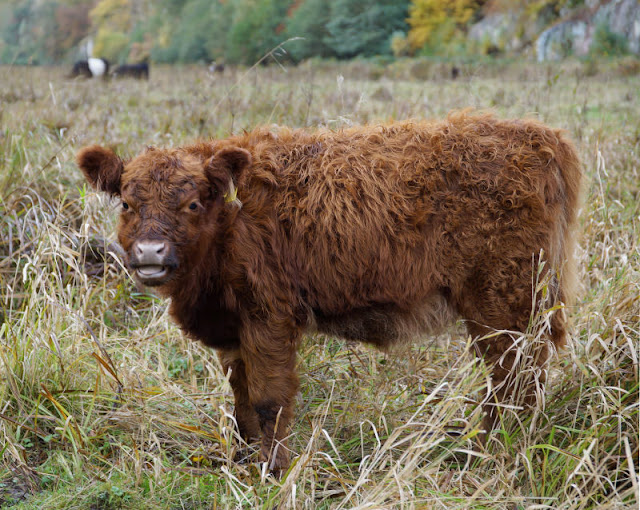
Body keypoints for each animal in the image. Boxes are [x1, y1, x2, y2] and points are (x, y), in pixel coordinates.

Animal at [77, 111, 584, 474]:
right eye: (127, 204)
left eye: (193, 204)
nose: (150, 253)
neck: (229, 225)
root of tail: (541, 137)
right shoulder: (233, 334)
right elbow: (241, 404)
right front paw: (242, 462)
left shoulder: (268, 318)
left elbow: (268, 401)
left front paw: (273, 471)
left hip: (503, 300)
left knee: (513, 375)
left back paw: (493, 450)